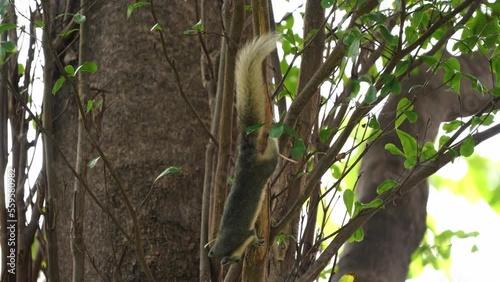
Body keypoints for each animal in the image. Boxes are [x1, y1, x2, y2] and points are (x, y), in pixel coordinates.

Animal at [206, 33, 280, 264]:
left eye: (229, 260)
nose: (230, 262)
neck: (226, 241)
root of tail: (246, 153)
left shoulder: (243, 235)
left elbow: (252, 235)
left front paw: (256, 242)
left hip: (265, 166)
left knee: (273, 159)